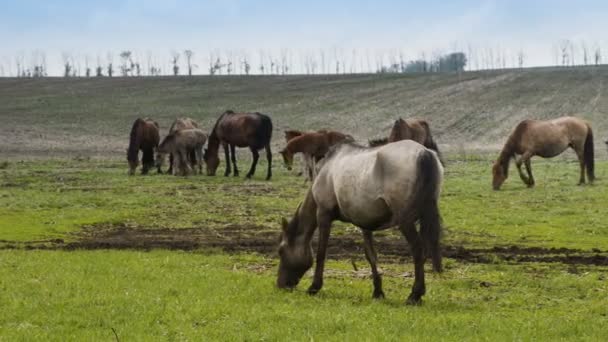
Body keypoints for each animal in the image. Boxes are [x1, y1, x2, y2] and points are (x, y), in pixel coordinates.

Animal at [278, 140, 444, 306]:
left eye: (280, 250)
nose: (281, 285)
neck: (326, 170)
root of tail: (424, 153)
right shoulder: (365, 223)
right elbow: (371, 255)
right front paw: (377, 291)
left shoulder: (323, 214)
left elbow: (321, 253)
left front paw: (314, 286)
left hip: (405, 221)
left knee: (418, 249)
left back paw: (414, 294)